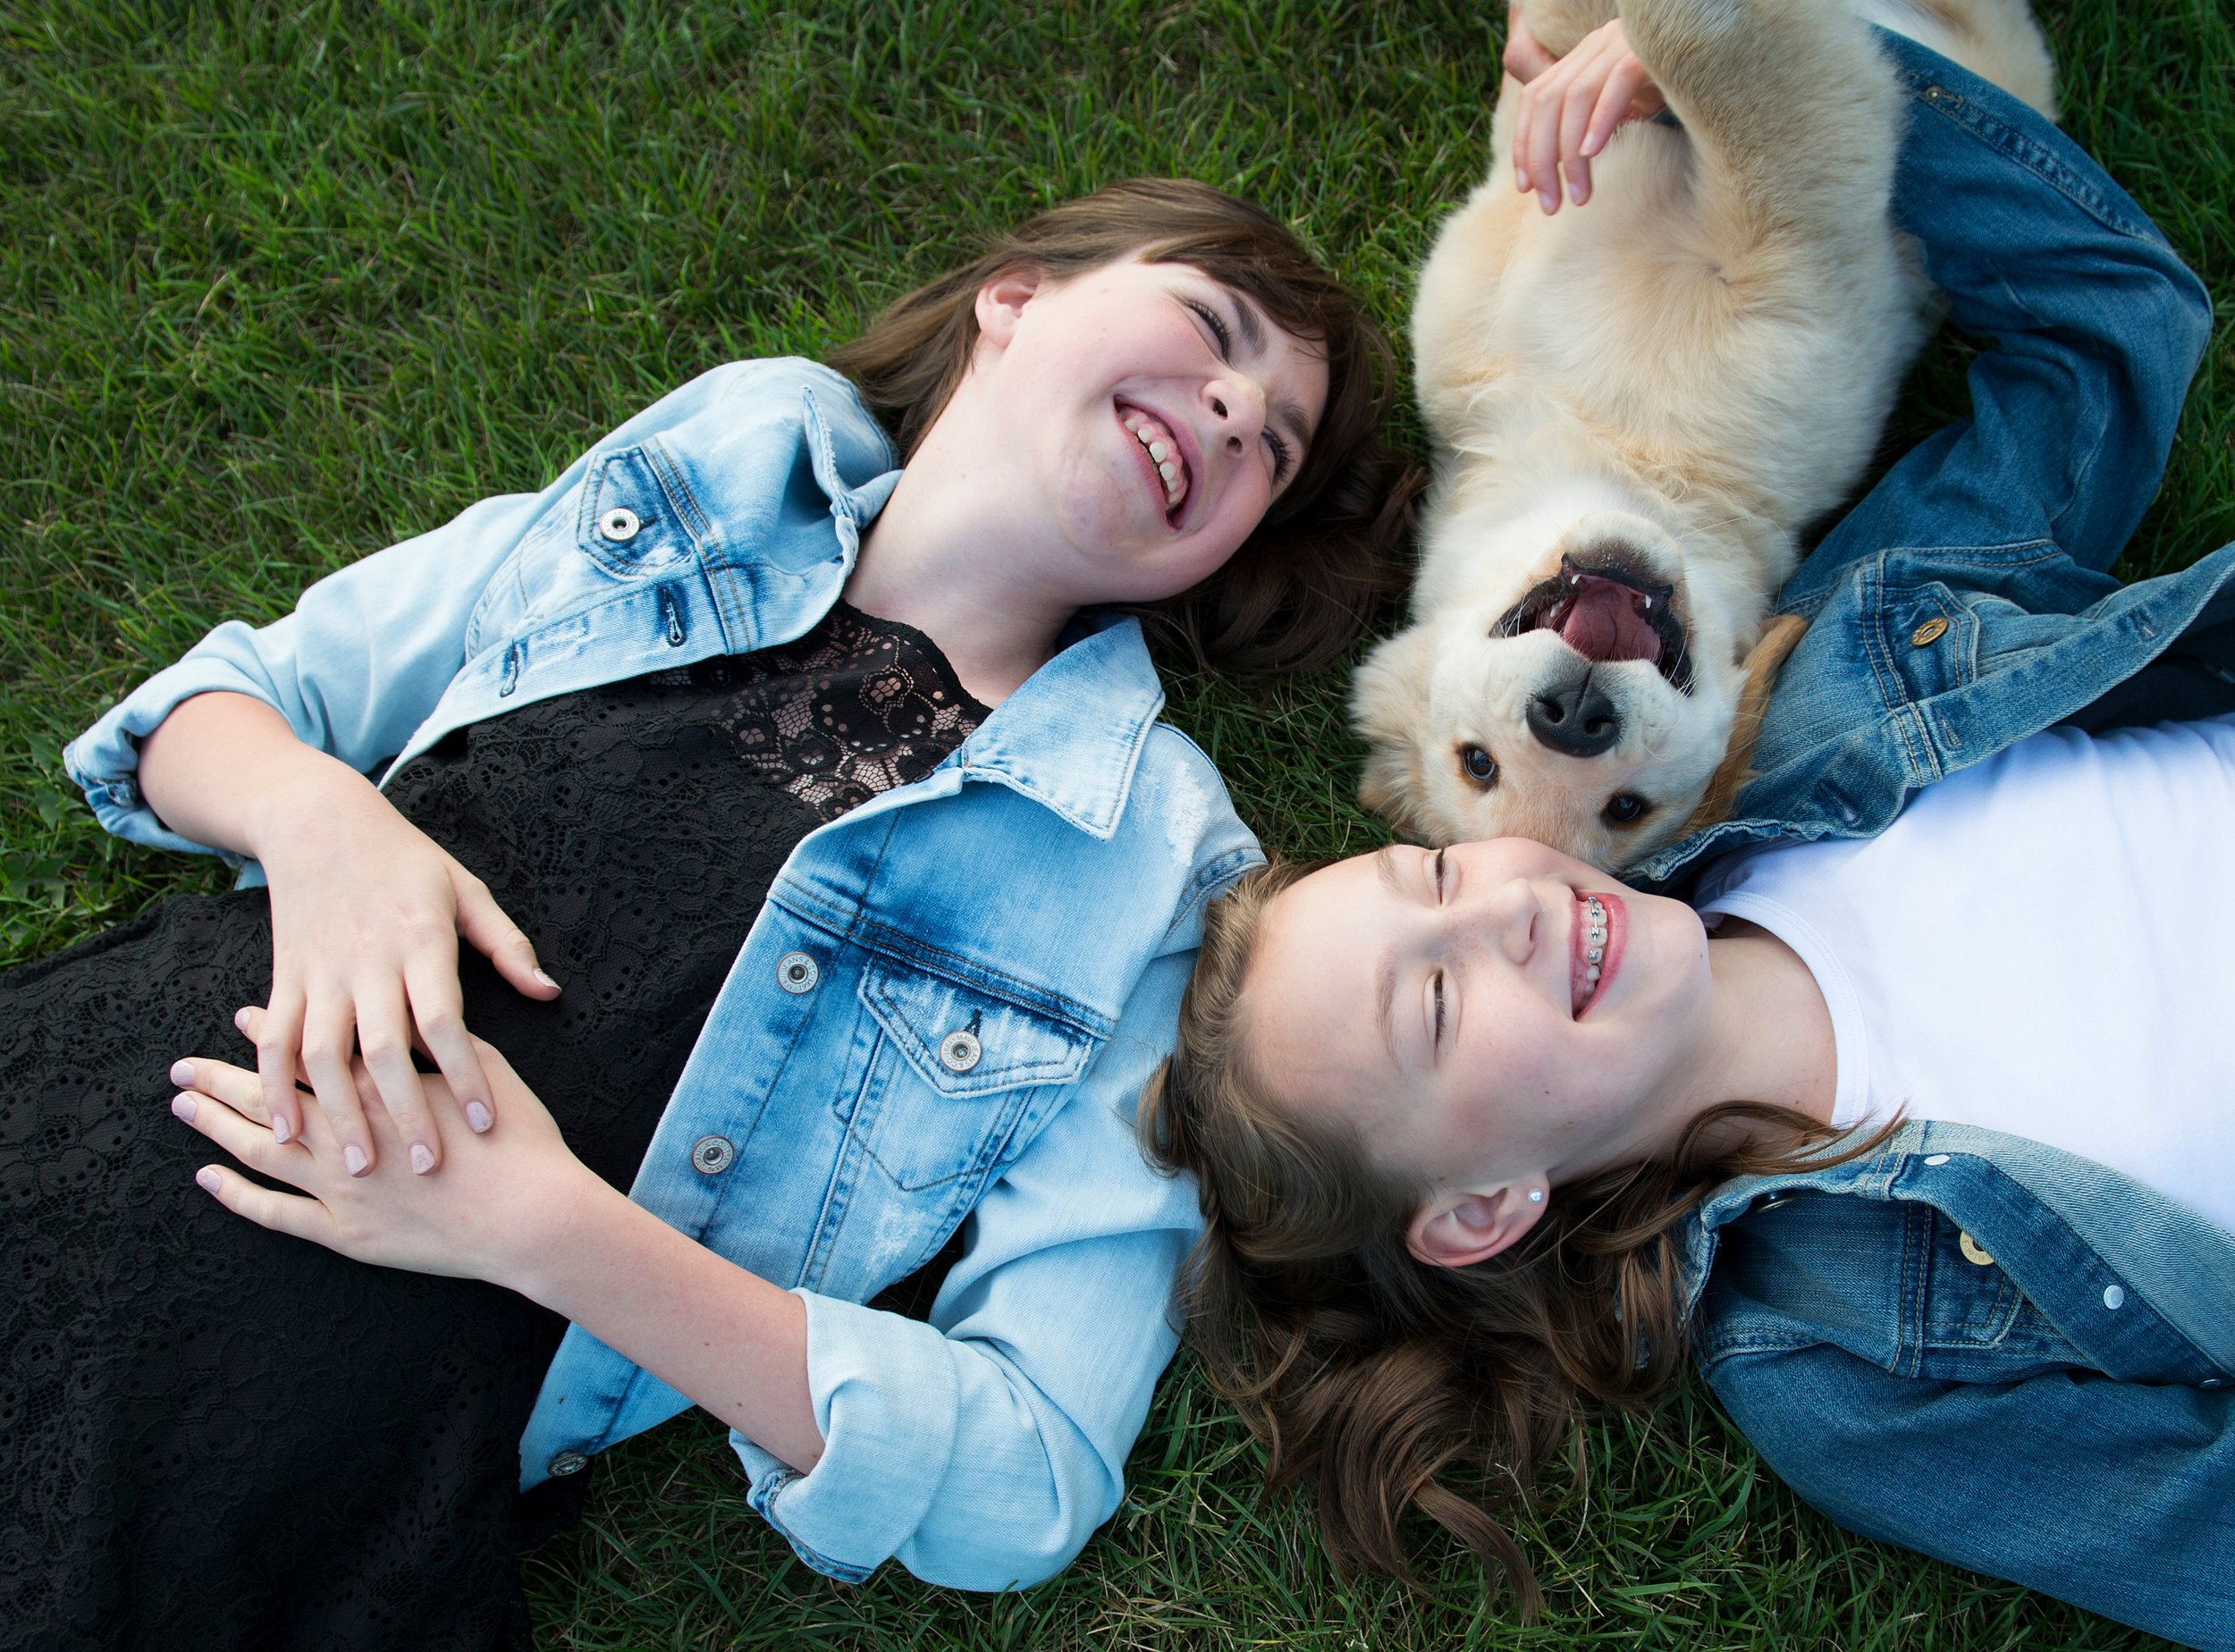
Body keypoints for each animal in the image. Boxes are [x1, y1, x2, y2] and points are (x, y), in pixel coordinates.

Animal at [1350, 0, 2047, 872]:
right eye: (1480, 763)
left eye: (1624, 808)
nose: (1571, 719)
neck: (1617, 448)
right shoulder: (1801, 216)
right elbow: (1716, 54)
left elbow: (1621, 46)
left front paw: (1596, 60)